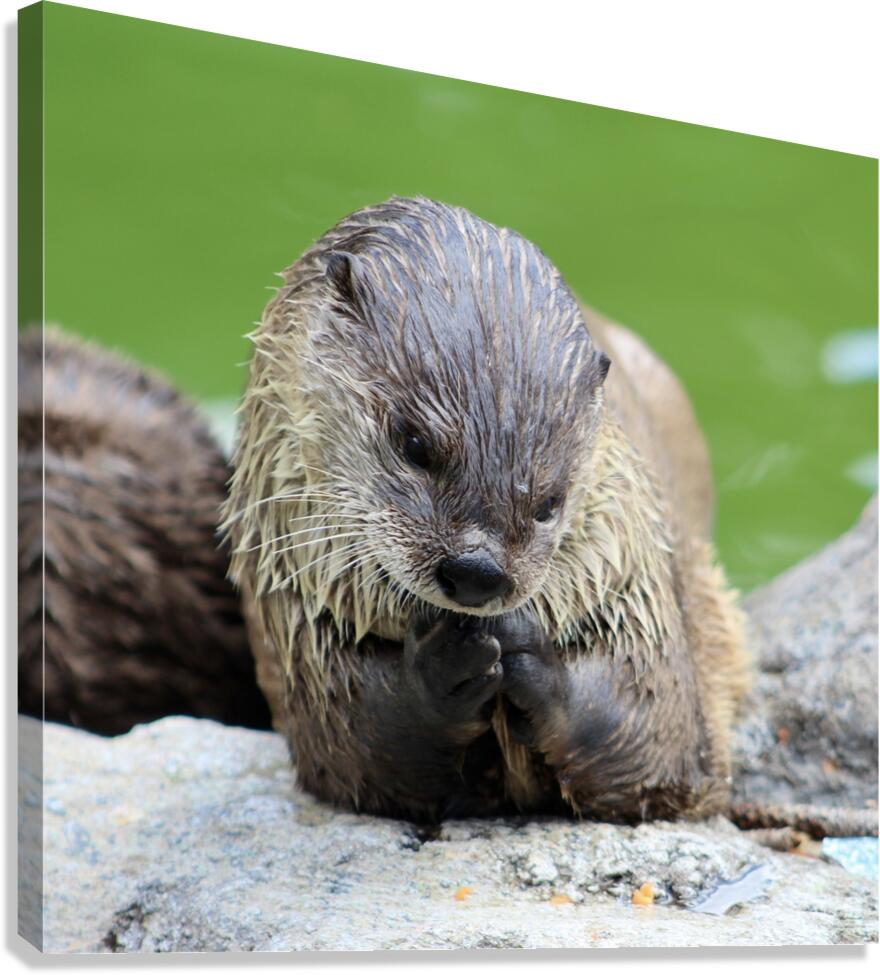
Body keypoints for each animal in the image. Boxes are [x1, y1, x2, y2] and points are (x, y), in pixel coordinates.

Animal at [222, 196, 750, 824]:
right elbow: (359, 742)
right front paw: (443, 668)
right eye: (414, 443)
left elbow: (655, 738)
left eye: (551, 501)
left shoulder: (632, 584)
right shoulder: (302, 620)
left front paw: (529, 658)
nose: (477, 570)